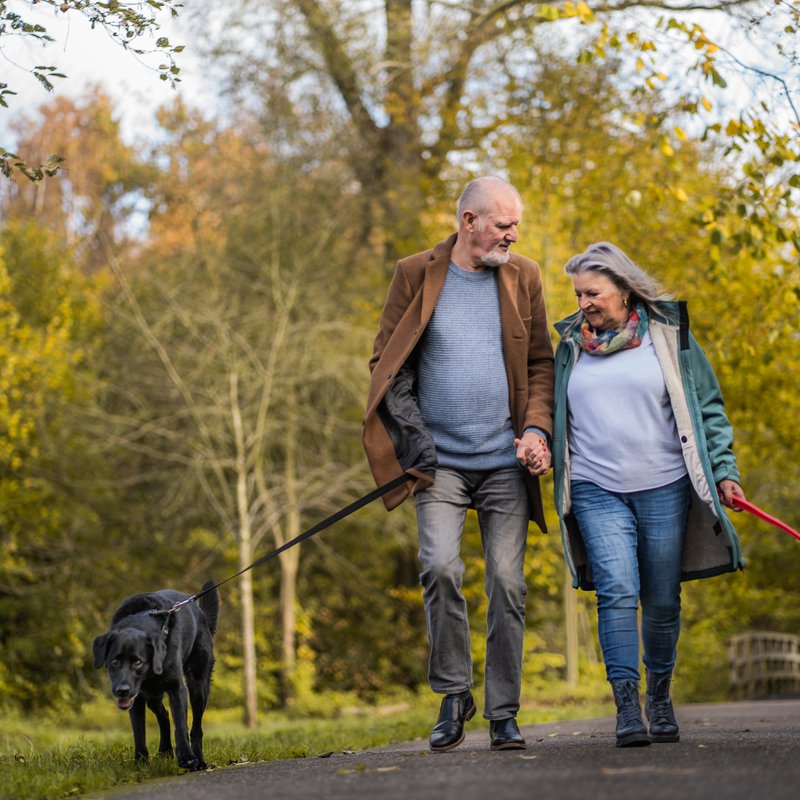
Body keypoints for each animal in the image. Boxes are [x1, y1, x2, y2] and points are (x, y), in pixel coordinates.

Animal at [93, 580, 219, 768]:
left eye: (138, 662)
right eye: (115, 661)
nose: (122, 691)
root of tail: (202, 614)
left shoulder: (176, 688)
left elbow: (180, 724)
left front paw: (186, 757)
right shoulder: (137, 698)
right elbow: (139, 731)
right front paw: (140, 762)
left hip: (198, 686)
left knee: (196, 728)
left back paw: (199, 760)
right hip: (152, 696)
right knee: (164, 716)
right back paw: (165, 750)